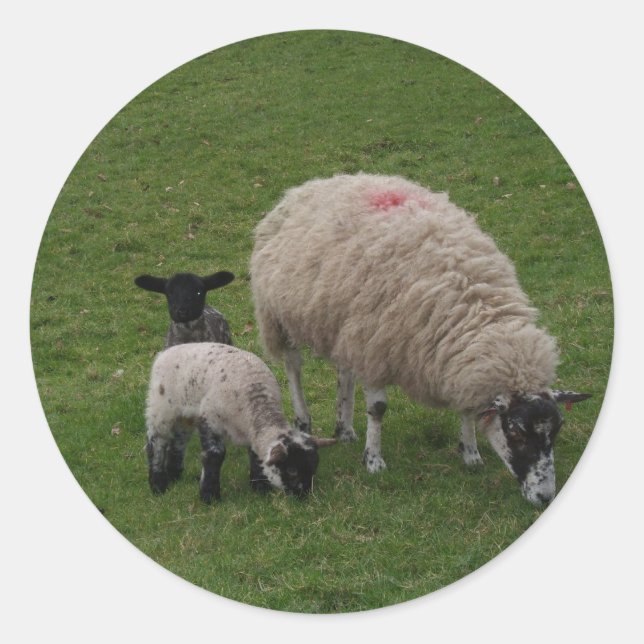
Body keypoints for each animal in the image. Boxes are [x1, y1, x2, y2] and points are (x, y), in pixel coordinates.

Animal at [145, 342, 336, 502]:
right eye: (292, 470)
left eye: (313, 467)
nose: (303, 494)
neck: (256, 405)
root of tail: (164, 353)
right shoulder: (210, 419)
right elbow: (214, 455)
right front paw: (209, 496)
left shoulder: (252, 433)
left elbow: (256, 455)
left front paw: (260, 487)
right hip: (161, 407)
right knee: (156, 442)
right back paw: (158, 484)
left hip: (185, 415)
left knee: (178, 441)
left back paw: (174, 474)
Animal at [250, 173, 590, 505]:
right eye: (517, 435)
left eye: (555, 433)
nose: (545, 497)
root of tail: (309, 187)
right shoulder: (376, 345)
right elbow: (378, 409)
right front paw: (374, 461)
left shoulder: (451, 358)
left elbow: (466, 408)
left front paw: (471, 454)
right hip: (281, 314)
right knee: (294, 366)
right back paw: (303, 419)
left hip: (343, 323)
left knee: (344, 371)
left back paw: (344, 429)